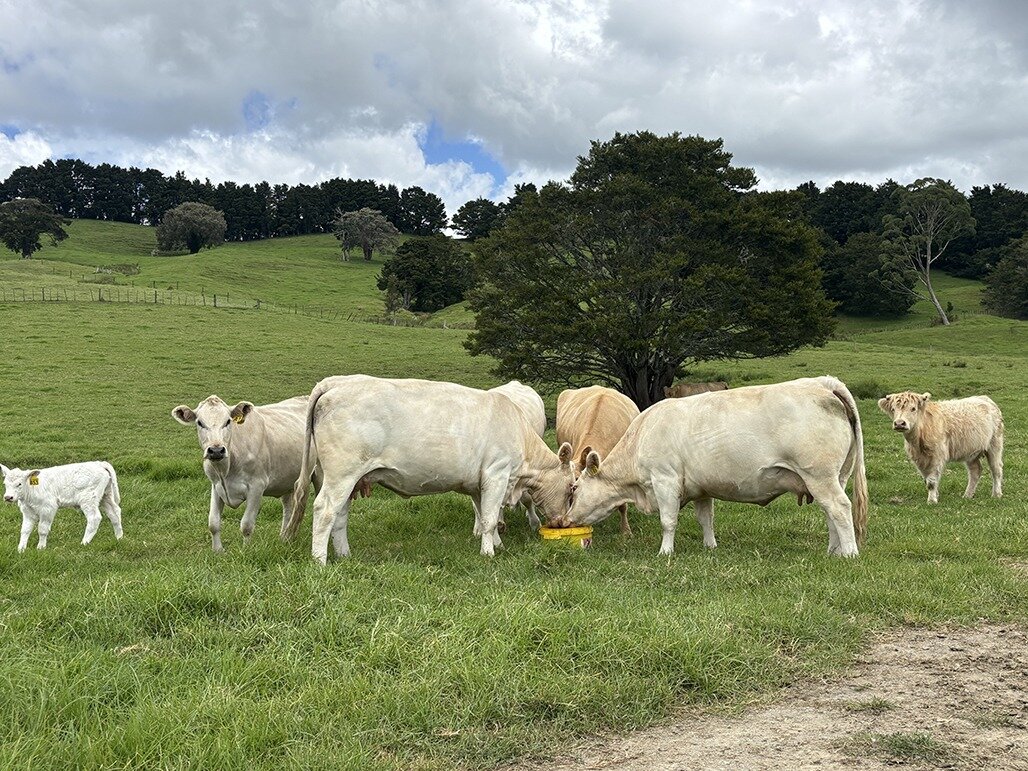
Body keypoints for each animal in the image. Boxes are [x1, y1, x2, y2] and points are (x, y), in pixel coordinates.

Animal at [172, 394, 322, 551]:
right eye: (200, 422)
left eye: (228, 421)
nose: (216, 450)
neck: (225, 470)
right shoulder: (216, 485)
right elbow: (213, 523)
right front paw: (218, 551)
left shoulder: (257, 486)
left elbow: (246, 525)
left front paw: (246, 550)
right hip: (287, 480)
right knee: (288, 507)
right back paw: (284, 538)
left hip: (319, 473)